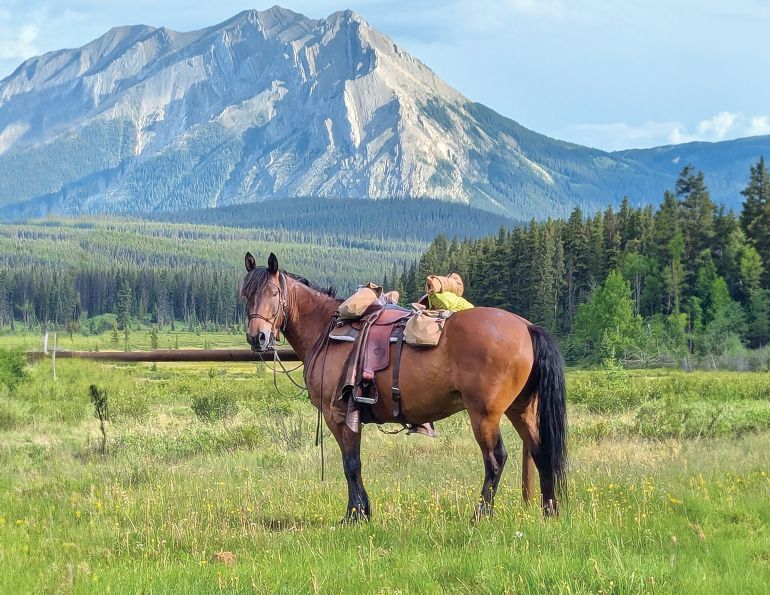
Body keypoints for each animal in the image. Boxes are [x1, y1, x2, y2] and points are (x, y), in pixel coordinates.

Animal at [242, 252, 567, 521]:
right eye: (245, 294)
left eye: (274, 293)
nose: (258, 337)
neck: (327, 330)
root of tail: (526, 327)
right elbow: (353, 463)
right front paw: (361, 512)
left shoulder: (339, 416)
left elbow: (351, 463)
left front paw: (356, 515)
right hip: (521, 409)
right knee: (540, 451)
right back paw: (550, 511)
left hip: (485, 414)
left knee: (496, 459)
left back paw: (480, 515)